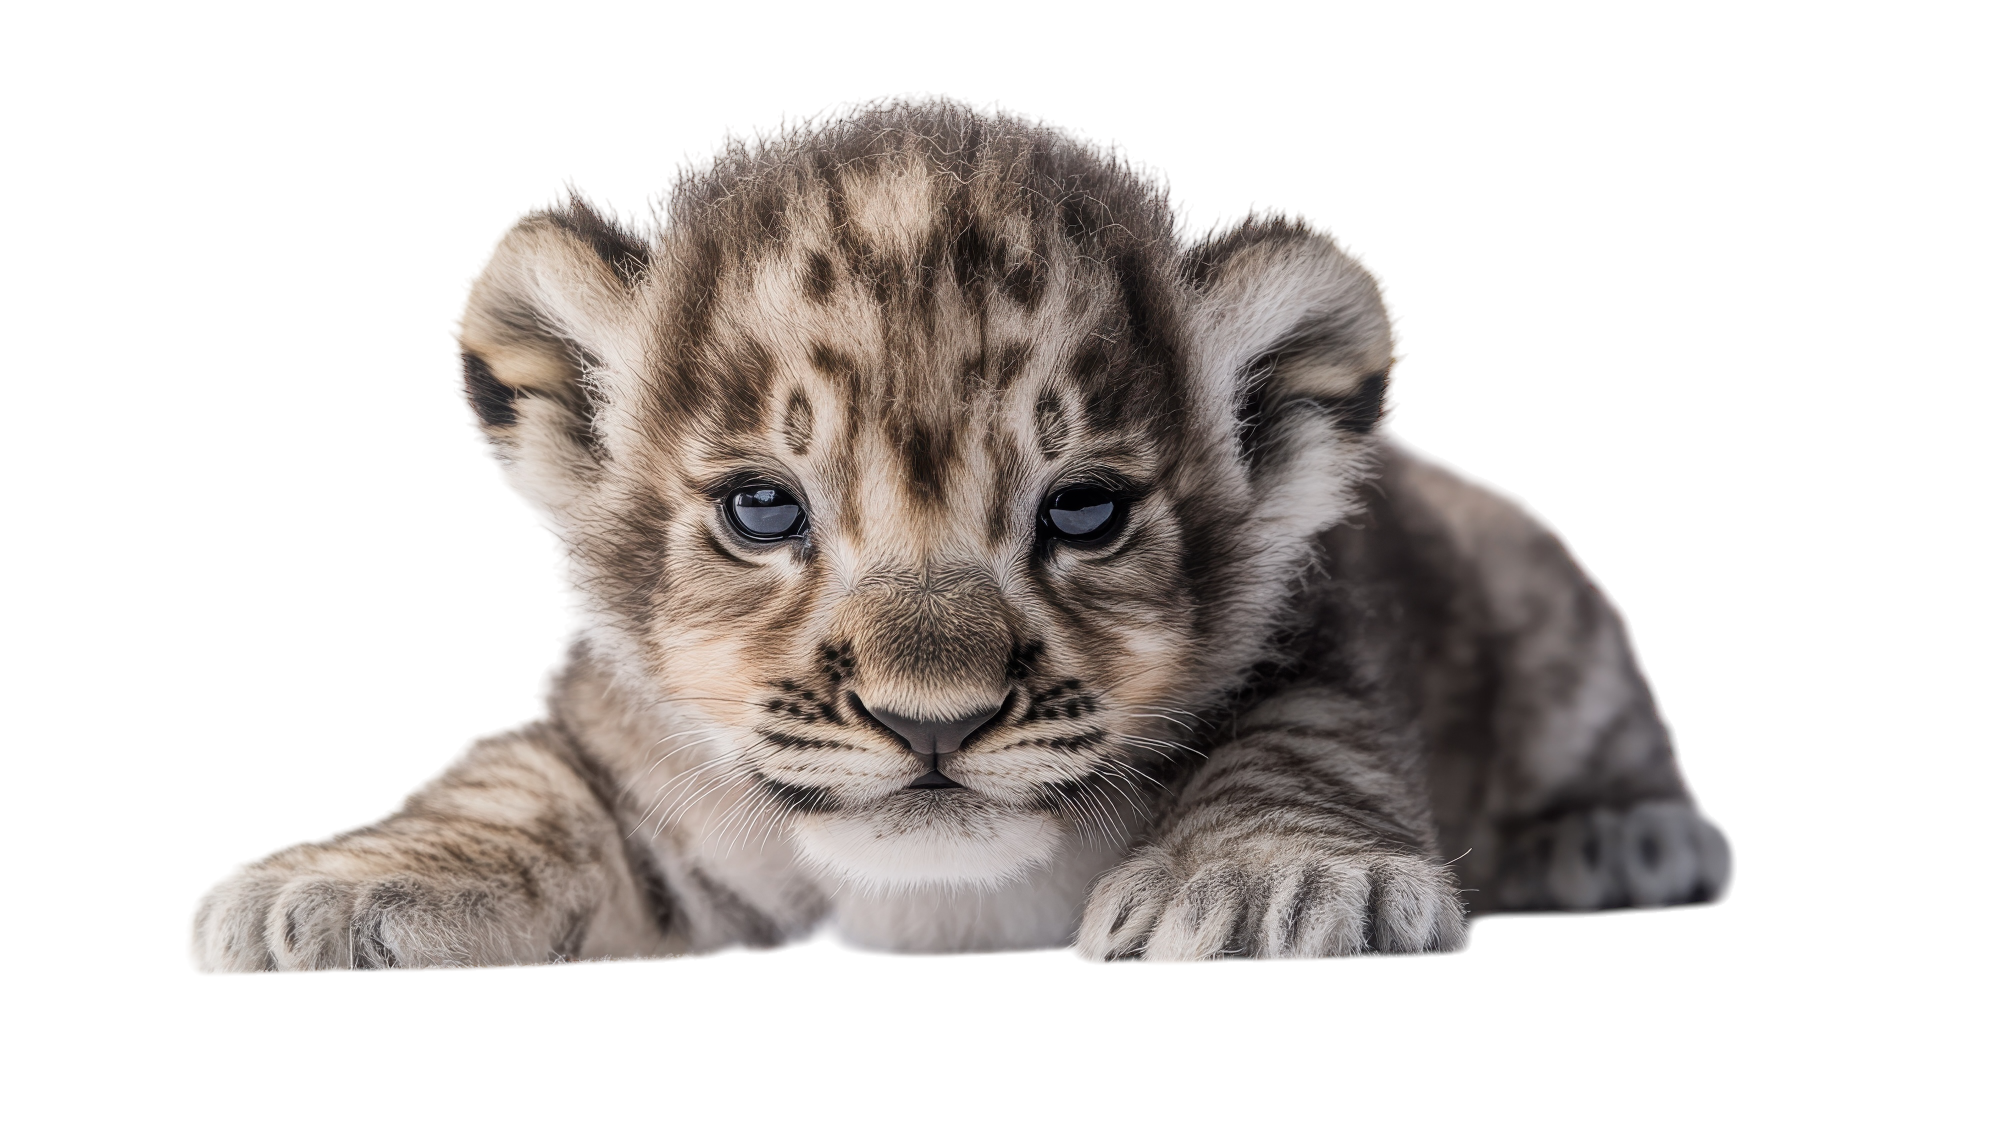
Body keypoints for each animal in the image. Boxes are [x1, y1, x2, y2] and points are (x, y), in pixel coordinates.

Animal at [186, 95, 1732, 972]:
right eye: (763, 507)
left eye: (1084, 510)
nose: (932, 721)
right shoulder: (608, 751)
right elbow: (512, 783)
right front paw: (329, 884)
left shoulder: (1317, 649)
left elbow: (1301, 748)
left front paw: (1265, 881)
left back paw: (1624, 836)